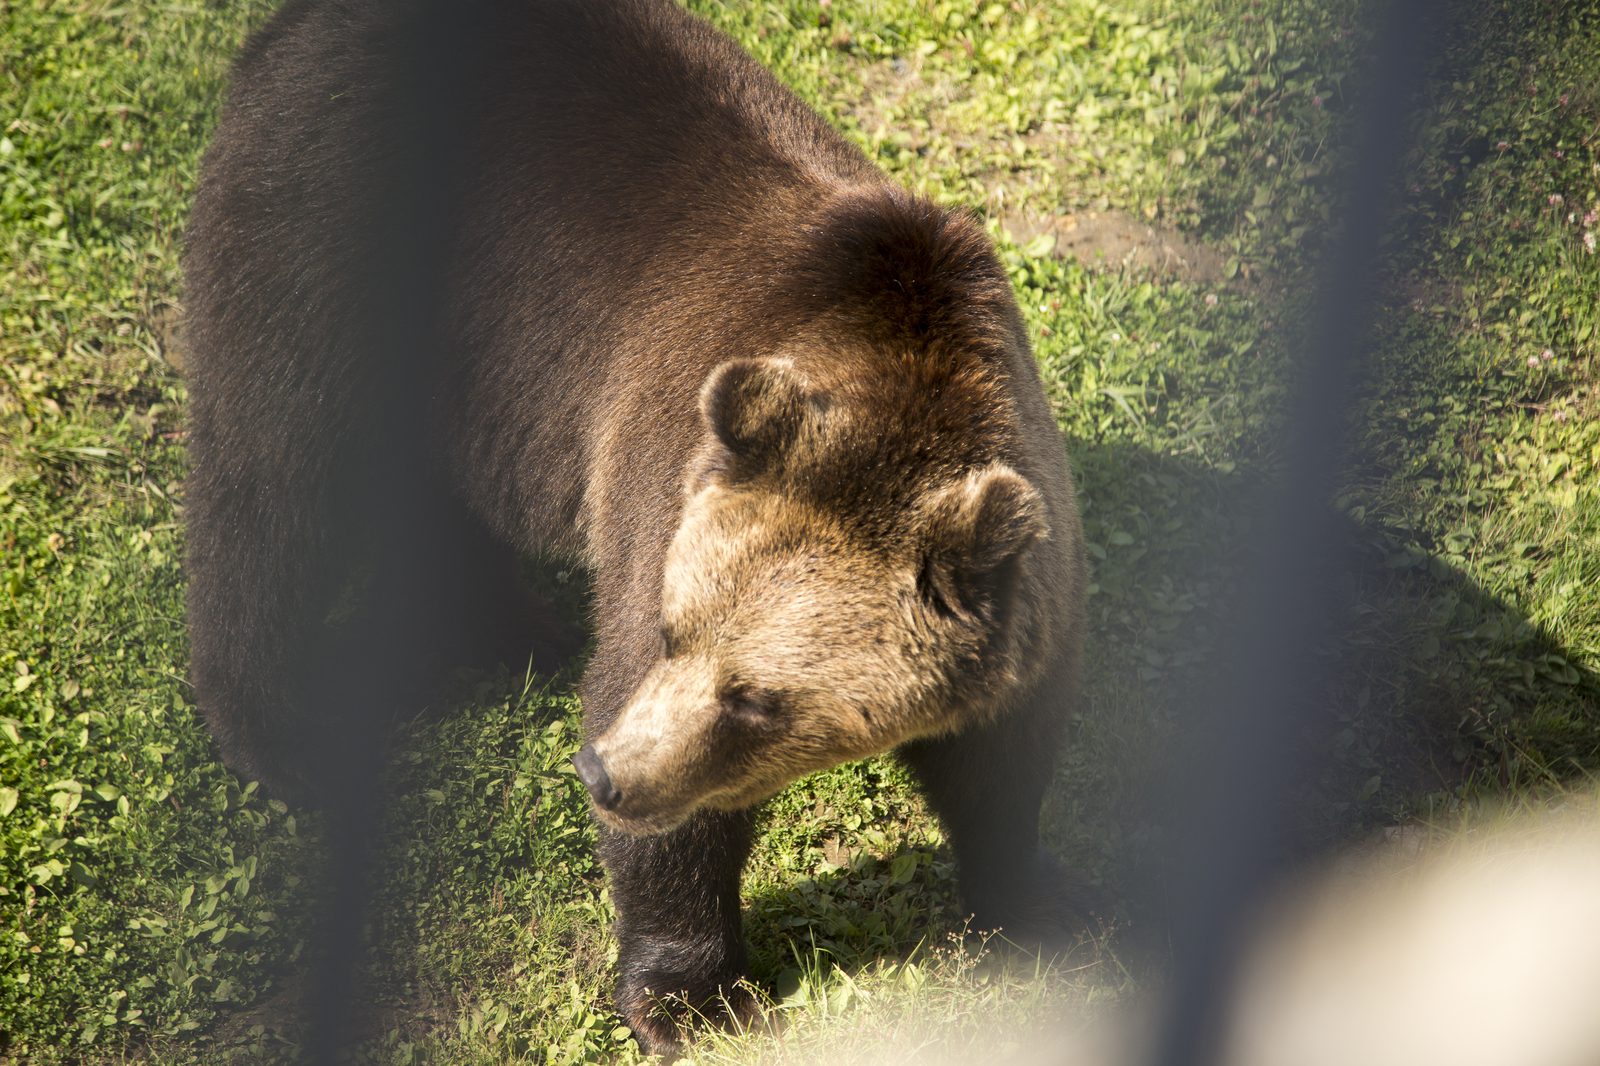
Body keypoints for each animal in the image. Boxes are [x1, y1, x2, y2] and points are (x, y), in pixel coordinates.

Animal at [181, 0, 1094, 1049]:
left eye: (756, 697)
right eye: (671, 629)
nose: (603, 776)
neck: (899, 358)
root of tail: (293, 25)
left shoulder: (1023, 584)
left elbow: (1002, 761)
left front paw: (1037, 901)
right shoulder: (665, 475)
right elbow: (665, 787)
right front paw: (692, 998)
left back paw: (505, 630)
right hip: (326, 233)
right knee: (277, 479)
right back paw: (283, 735)